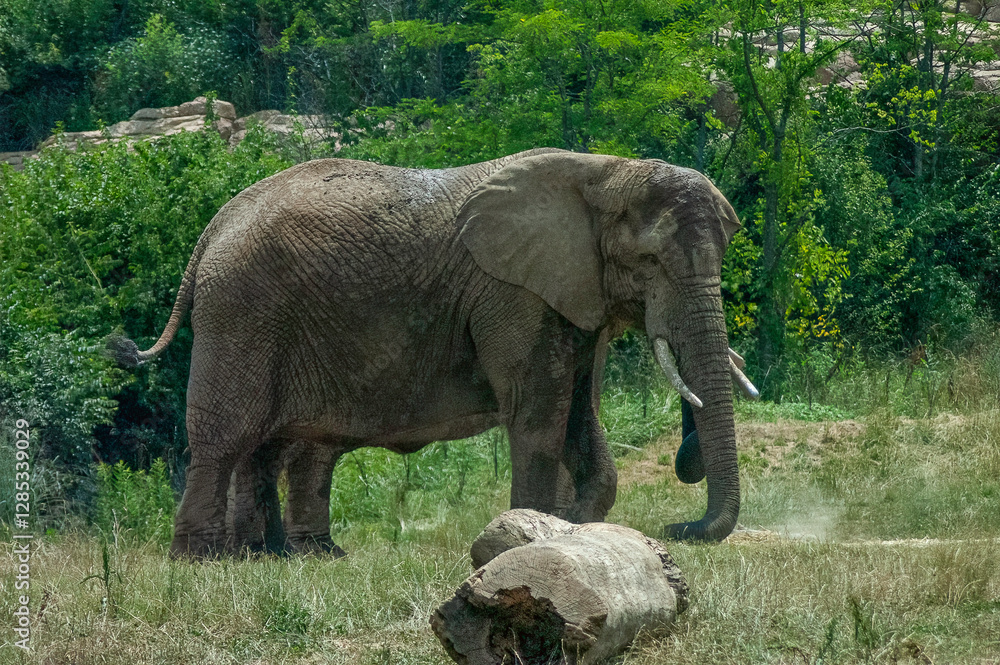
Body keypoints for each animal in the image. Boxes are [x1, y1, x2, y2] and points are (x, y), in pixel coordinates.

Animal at [109, 148, 758, 557]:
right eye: (649, 262)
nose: (679, 527)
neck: (604, 172)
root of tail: (215, 225)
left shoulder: (571, 296)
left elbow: (580, 416)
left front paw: (573, 530)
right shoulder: (510, 293)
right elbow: (540, 415)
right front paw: (534, 534)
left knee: (273, 445)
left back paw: (283, 558)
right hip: (241, 311)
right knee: (227, 438)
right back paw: (203, 563)